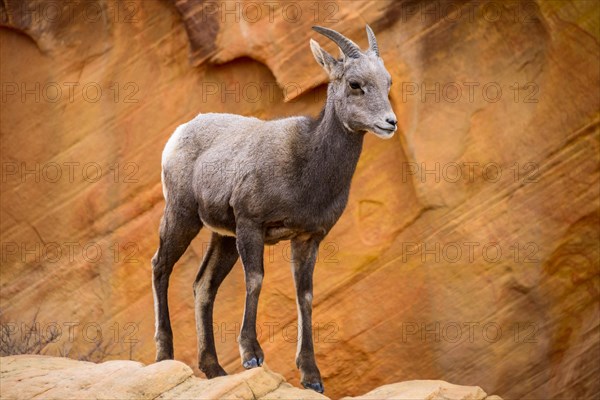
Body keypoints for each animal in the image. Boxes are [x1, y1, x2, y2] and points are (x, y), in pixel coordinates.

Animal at [152, 25, 396, 394]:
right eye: (355, 84)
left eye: (388, 82)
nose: (389, 122)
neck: (306, 166)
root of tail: (178, 134)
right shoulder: (251, 225)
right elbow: (255, 280)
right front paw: (252, 355)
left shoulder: (308, 239)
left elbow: (304, 296)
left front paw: (312, 378)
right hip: (183, 217)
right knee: (161, 267)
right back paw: (164, 356)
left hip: (223, 238)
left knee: (203, 285)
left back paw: (214, 369)